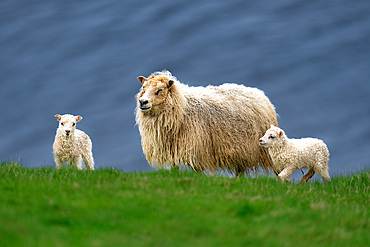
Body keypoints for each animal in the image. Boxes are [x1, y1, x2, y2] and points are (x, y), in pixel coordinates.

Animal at [136, 69, 278, 176]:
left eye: (160, 90)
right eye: (143, 87)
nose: (143, 102)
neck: (182, 106)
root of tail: (260, 93)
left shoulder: (197, 150)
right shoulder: (174, 149)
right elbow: (174, 169)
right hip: (240, 152)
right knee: (240, 172)